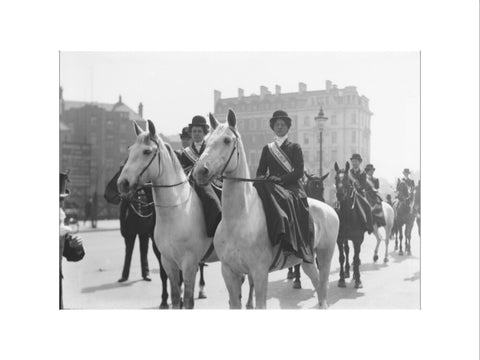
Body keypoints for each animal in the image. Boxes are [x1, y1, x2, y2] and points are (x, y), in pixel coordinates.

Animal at [118, 121, 219, 310]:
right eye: (130, 150)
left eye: (147, 151)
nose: (122, 183)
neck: (176, 212)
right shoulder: (168, 261)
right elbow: (175, 297)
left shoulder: (189, 264)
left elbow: (188, 301)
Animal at [193, 110, 340, 310]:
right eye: (206, 140)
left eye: (227, 140)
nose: (200, 171)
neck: (238, 219)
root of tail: (329, 209)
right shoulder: (229, 272)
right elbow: (235, 303)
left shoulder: (260, 272)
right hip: (307, 259)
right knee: (317, 284)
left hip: (325, 254)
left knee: (323, 286)